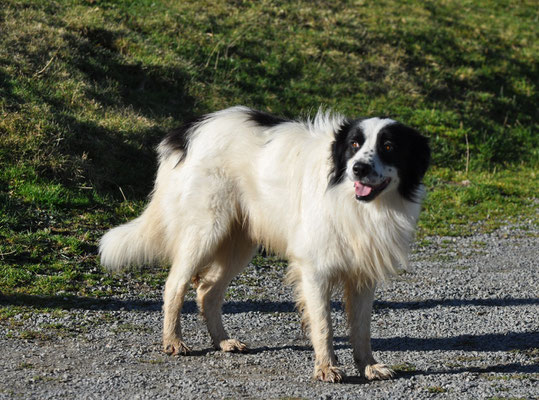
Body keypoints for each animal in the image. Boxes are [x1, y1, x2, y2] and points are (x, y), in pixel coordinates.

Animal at [100, 105, 430, 382]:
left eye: (388, 147)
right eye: (354, 145)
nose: (358, 168)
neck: (354, 201)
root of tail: (187, 131)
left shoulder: (362, 274)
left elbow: (361, 328)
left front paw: (368, 365)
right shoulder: (315, 271)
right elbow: (324, 325)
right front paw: (326, 368)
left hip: (238, 241)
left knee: (207, 290)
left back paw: (222, 341)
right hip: (205, 230)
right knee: (175, 284)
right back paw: (173, 340)